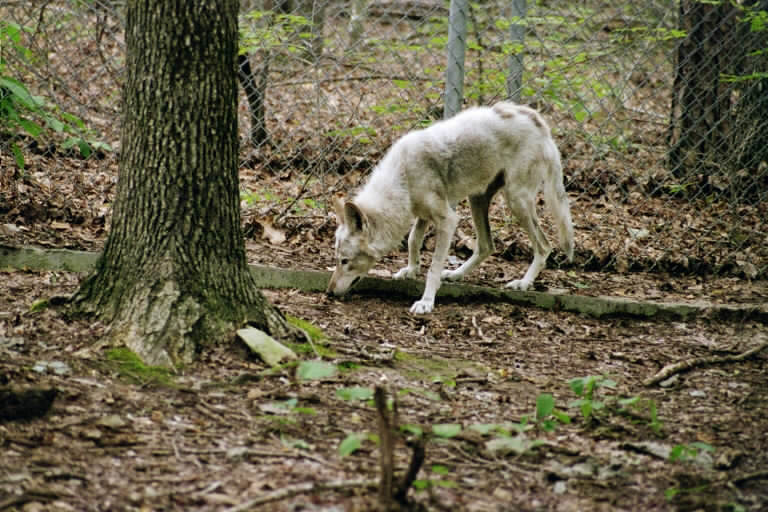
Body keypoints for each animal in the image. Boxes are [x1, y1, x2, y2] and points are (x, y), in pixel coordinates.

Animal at [327, 101, 574, 314]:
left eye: (344, 261)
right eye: (336, 260)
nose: (328, 292)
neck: (402, 177)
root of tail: (538, 121)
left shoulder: (447, 220)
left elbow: (433, 267)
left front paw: (426, 302)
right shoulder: (423, 215)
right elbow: (413, 241)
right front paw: (410, 270)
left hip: (516, 201)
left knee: (544, 246)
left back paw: (522, 283)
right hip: (478, 200)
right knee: (486, 246)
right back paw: (455, 275)